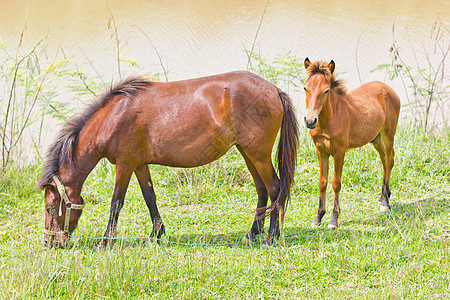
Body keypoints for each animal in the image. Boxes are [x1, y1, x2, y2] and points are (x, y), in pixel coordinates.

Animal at [38, 70, 298, 248]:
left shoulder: (125, 164)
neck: (114, 116)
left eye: (50, 207)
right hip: (247, 152)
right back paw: (253, 233)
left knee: (275, 188)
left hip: (258, 154)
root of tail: (274, 90)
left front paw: (104, 241)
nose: (50, 243)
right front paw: (156, 234)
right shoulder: (140, 165)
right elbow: (150, 197)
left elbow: (116, 203)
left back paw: (271, 236)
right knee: (262, 189)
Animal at [302, 57, 400, 229]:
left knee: (389, 160)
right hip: (375, 138)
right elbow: (322, 182)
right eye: (305, 88)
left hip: (388, 134)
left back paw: (385, 203)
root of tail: (389, 89)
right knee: (384, 159)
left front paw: (333, 220)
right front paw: (318, 217)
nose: (310, 121)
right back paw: (383, 196)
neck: (328, 120)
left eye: (326, 90)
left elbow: (336, 183)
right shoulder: (321, 151)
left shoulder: (339, 152)